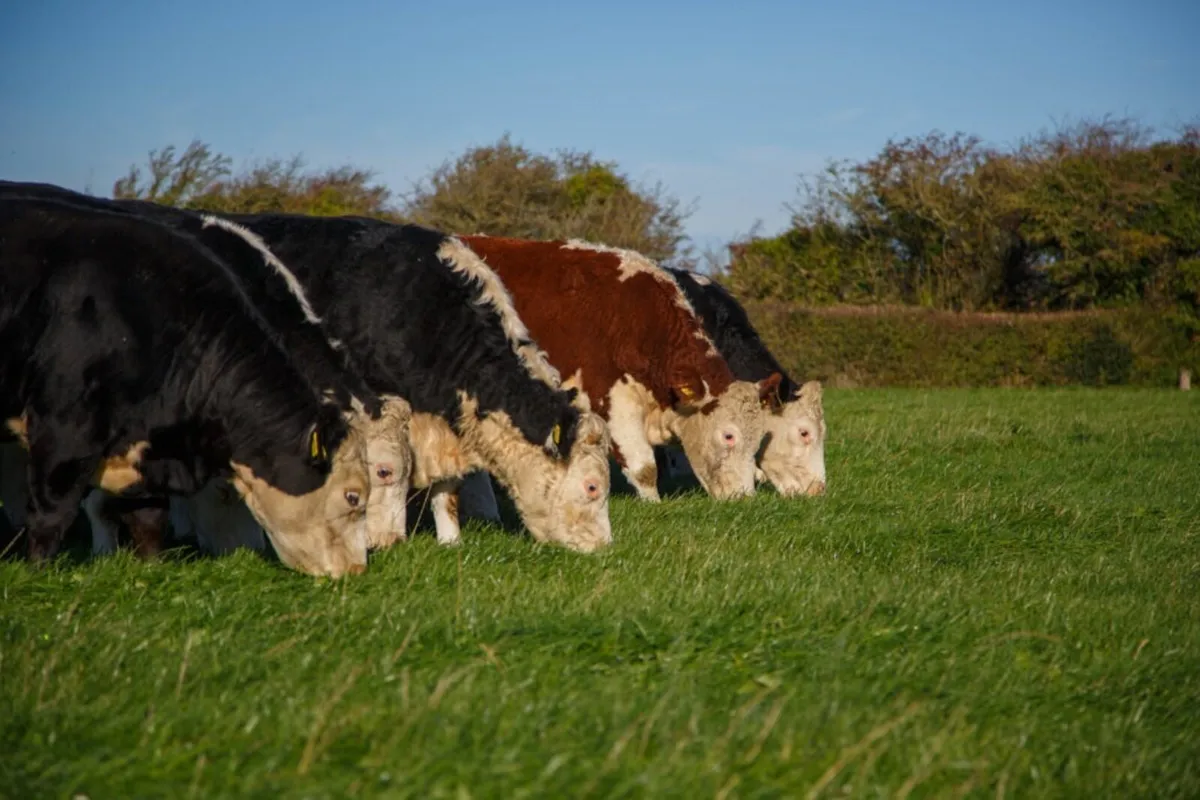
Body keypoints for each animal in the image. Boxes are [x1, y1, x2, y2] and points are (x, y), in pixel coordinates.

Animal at [460, 236, 781, 501]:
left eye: (758, 437)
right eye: (728, 436)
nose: (744, 498)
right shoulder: (611, 401)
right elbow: (644, 468)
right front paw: (653, 506)